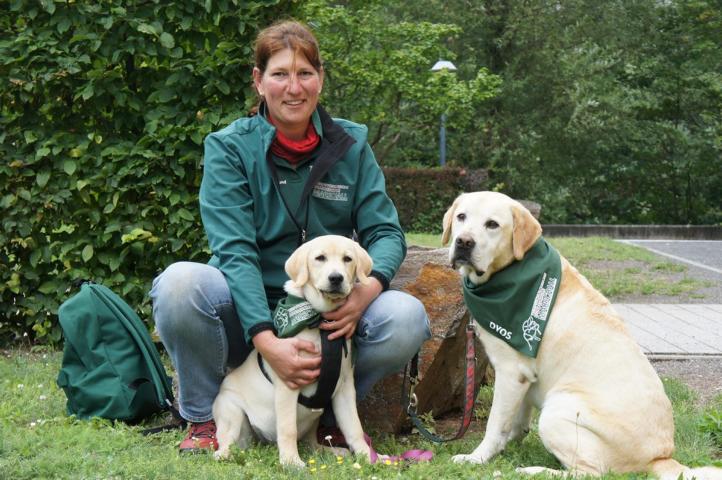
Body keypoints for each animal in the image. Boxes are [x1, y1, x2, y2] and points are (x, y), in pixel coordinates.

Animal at [211, 234, 372, 466]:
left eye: (347, 259)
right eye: (320, 258)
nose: (336, 278)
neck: (321, 321)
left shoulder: (344, 386)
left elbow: (355, 427)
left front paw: (370, 457)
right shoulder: (289, 382)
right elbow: (287, 428)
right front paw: (291, 462)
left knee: (311, 442)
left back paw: (329, 451)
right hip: (231, 411)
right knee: (228, 441)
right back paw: (224, 453)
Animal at [442, 192, 716, 480]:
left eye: (492, 224)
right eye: (461, 217)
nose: (463, 242)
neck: (511, 275)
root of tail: (660, 457)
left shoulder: (510, 371)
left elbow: (496, 424)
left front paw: (477, 458)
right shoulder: (525, 376)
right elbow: (516, 420)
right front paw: (509, 445)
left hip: (557, 409)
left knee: (588, 472)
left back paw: (529, 470)